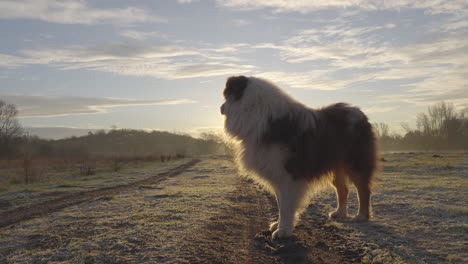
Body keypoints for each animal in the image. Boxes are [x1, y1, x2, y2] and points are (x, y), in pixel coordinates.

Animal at [221, 75, 378, 238]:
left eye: (226, 96)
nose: (221, 108)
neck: (259, 113)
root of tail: (359, 113)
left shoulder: (289, 175)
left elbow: (285, 206)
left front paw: (283, 231)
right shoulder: (277, 173)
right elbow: (280, 203)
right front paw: (278, 225)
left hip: (356, 163)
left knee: (363, 190)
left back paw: (361, 216)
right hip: (336, 166)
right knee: (343, 189)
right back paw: (339, 213)